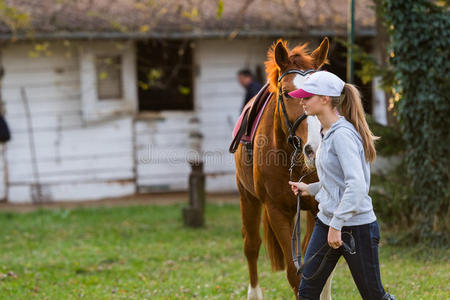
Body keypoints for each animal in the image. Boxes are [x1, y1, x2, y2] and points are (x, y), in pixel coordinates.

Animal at [236, 38, 334, 300]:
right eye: (286, 93)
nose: (315, 148)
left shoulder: (319, 208)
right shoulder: (277, 209)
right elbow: (294, 273)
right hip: (247, 197)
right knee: (251, 246)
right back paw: (254, 293)